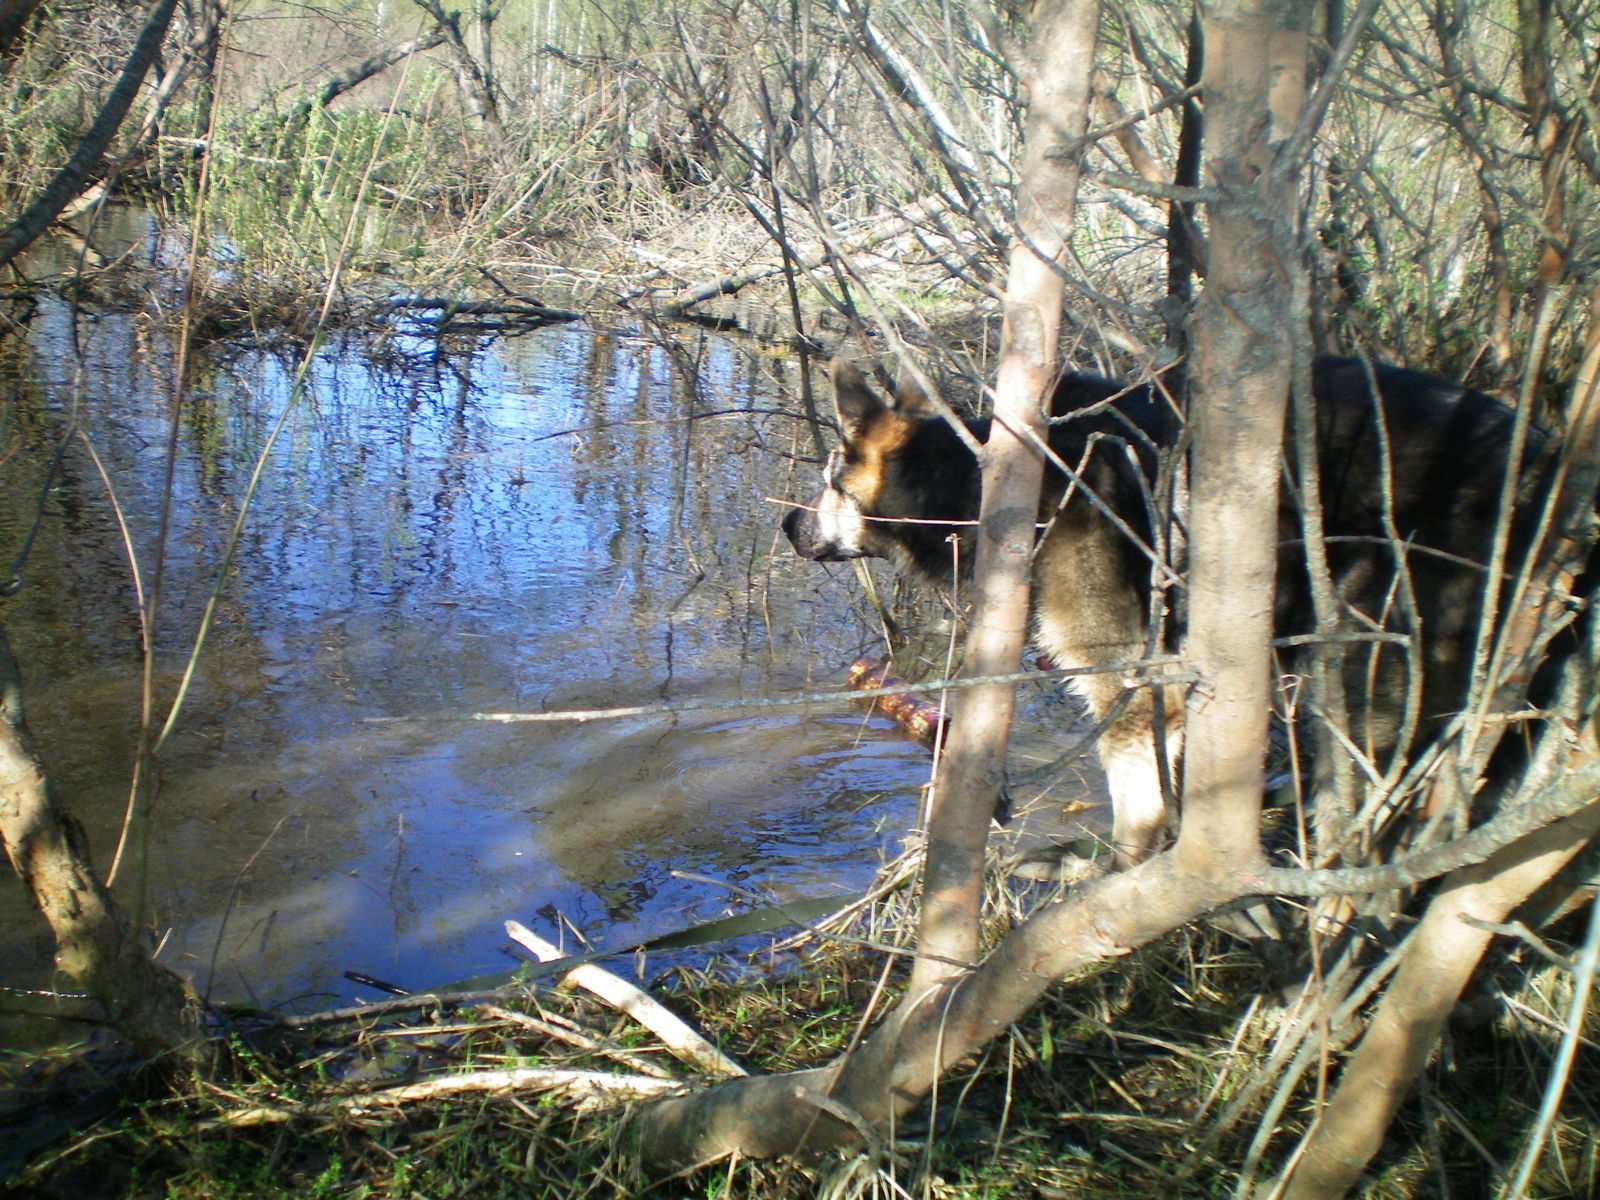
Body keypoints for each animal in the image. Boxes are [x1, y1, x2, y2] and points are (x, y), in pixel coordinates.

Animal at [780, 352, 1555, 870]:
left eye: (829, 483)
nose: (788, 525)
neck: (981, 481)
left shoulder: (1123, 669)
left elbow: (1137, 804)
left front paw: (1112, 880)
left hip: (1375, 648)